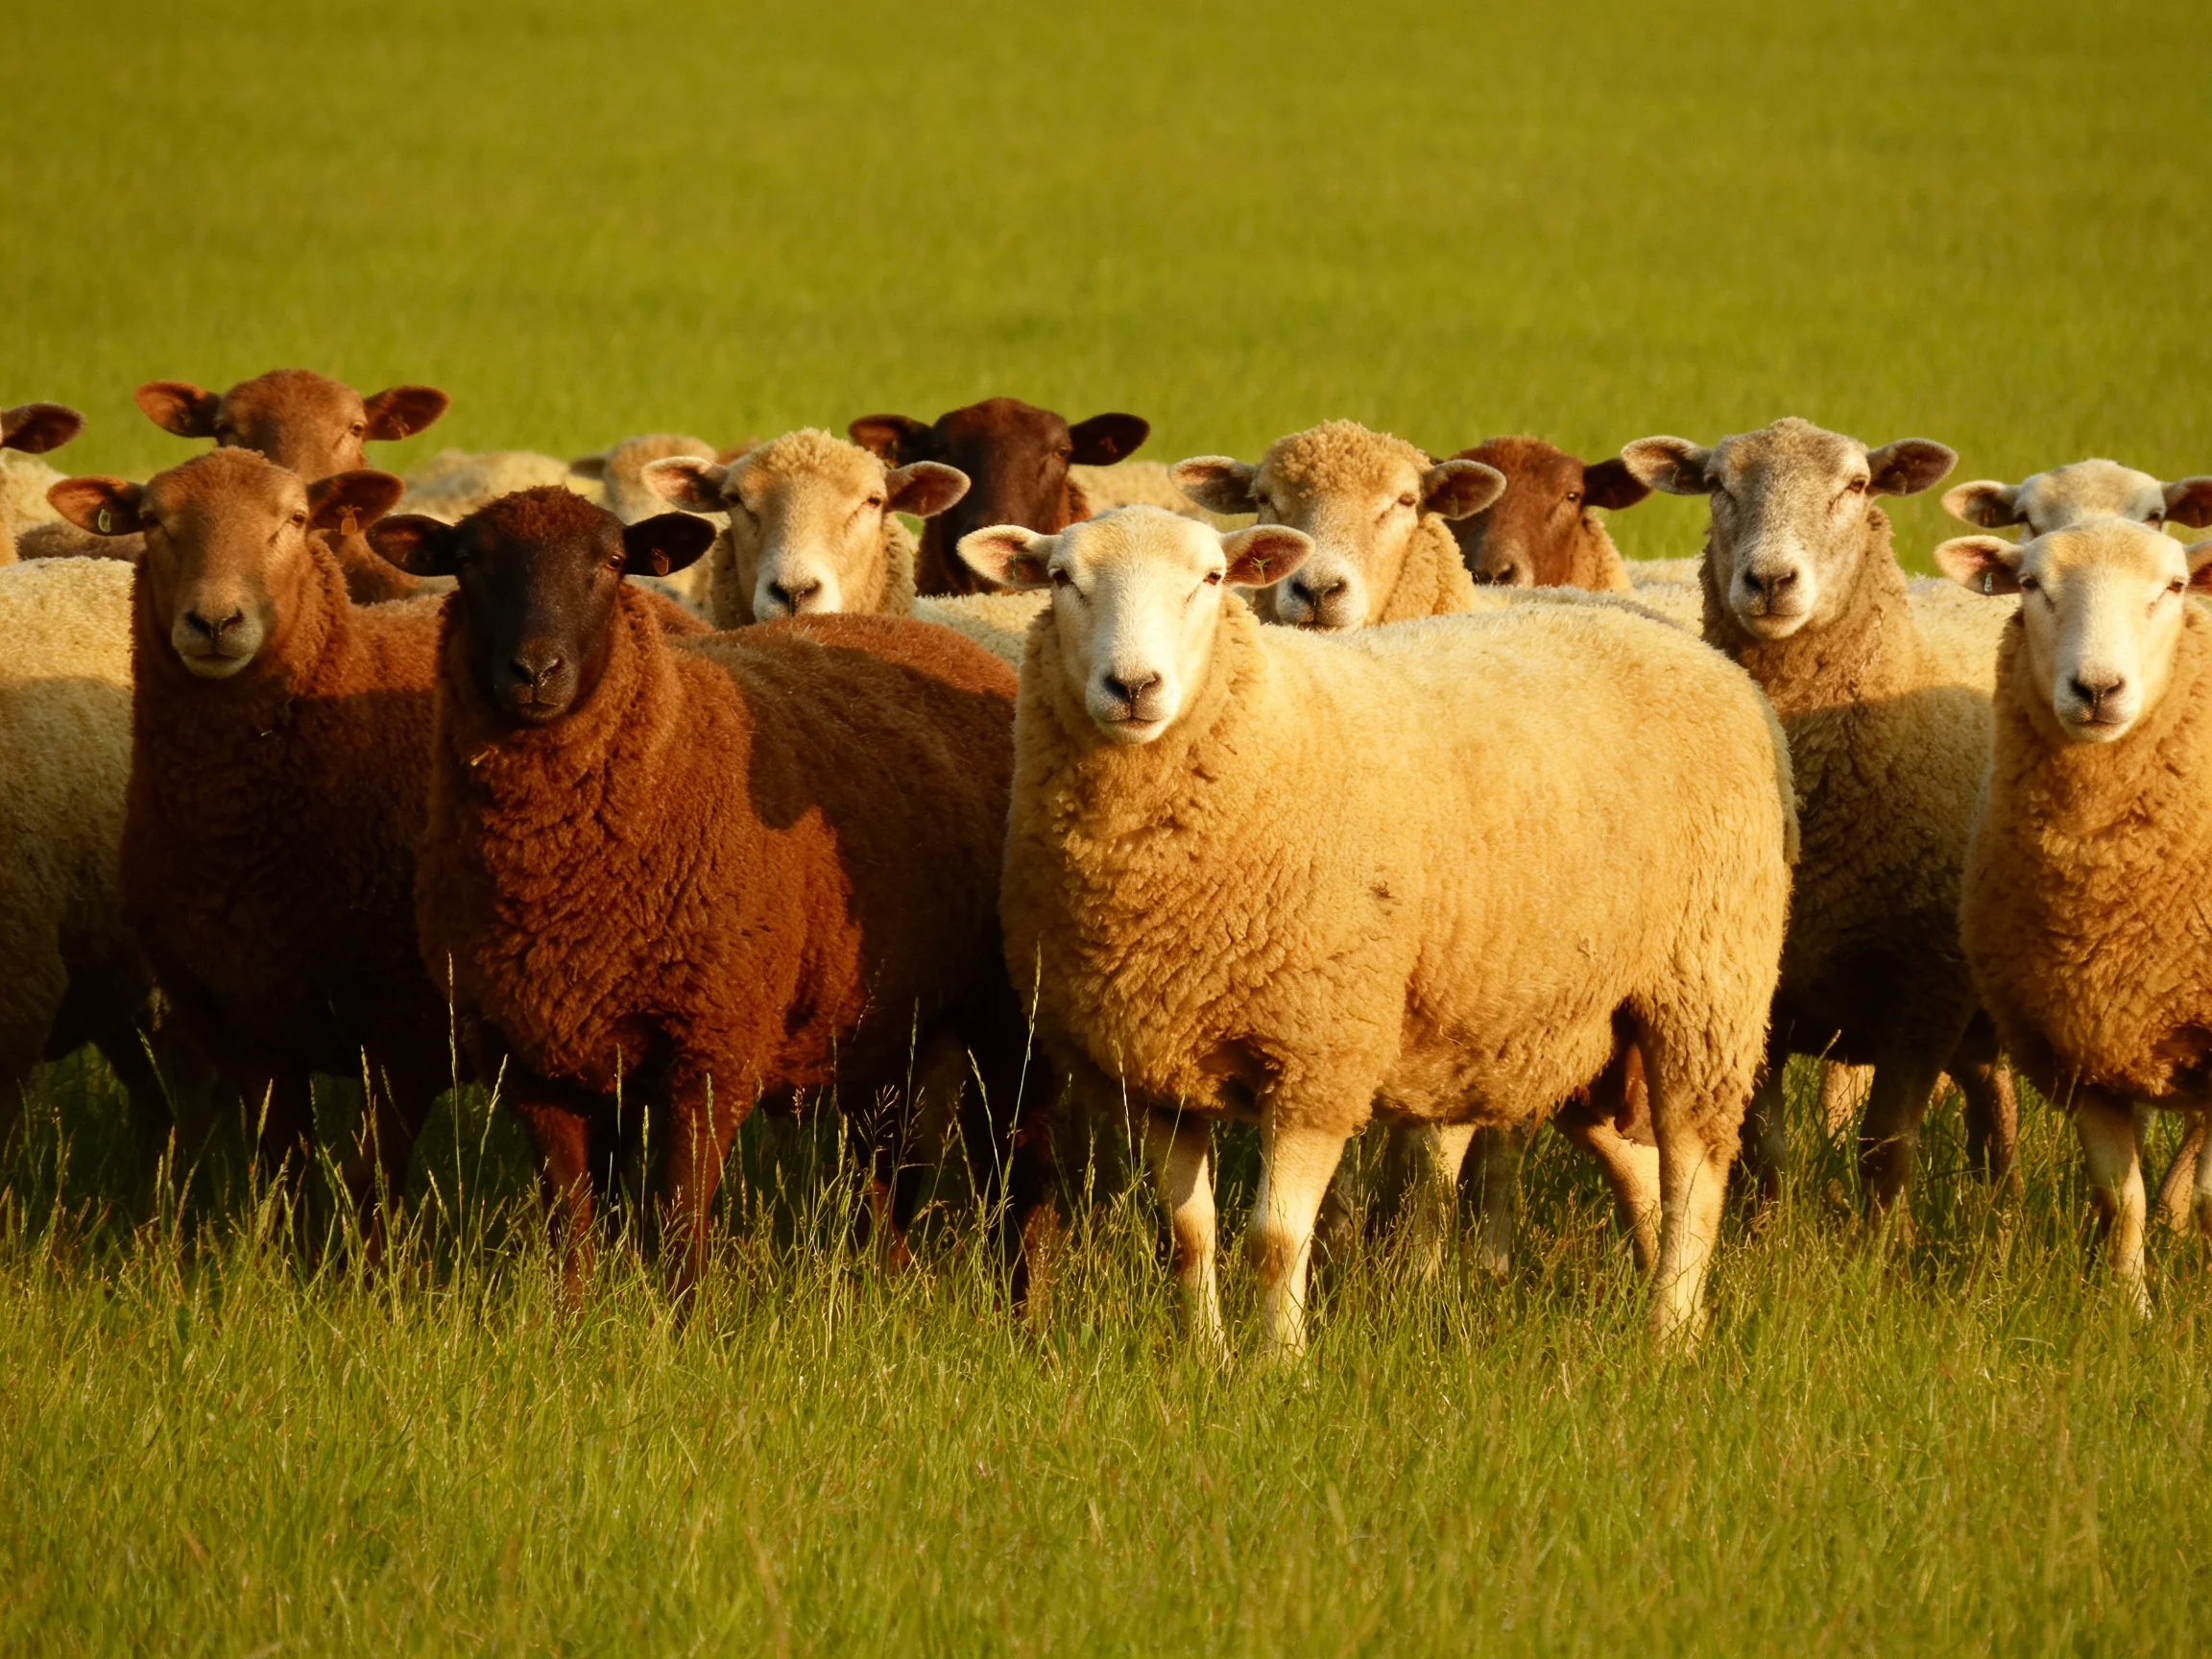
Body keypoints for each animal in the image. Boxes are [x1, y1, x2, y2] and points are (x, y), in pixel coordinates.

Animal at [46, 450, 452, 1222]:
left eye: (294, 520)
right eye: (153, 521)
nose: (213, 621)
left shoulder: (409, 1024)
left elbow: (371, 1181)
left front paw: (363, 1255)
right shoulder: (244, 1015)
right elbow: (289, 1169)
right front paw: (298, 1248)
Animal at [364, 488, 1048, 1296]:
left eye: (612, 563)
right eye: (468, 562)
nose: (535, 670)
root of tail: (951, 641)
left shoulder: (714, 1041)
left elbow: (679, 1212)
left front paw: (680, 1316)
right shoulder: (533, 1054)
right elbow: (570, 1218)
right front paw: (571, 1313)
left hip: (1004, 1010)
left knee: (1016, 1160)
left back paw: (1021, 1300)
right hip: (889, 1017)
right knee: (888, 1159)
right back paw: (884, 1276)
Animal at [960, 505, 1796, 1352]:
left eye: (1212, 578)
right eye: (1061, 578)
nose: (1134, 687)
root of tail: (1698, 654)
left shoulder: (1318, 1054)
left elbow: (1275, 1240)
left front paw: (1280, 1362)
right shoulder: (1153, 1069)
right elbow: (1188, 1234)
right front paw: (1205, 1355)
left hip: (1707, 983)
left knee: (1696, 1169)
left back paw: (1667, 1333)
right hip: (1580, 1023)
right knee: (1641, 1167)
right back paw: (1673, 1308)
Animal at [1621, 416, 2016, 1220]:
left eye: (1857, 485)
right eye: (1717, 484)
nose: (1771, 581)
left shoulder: (1925, 993)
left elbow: (1885, 1144)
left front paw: (1881, 1243)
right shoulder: (1756, 991)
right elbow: (1762, 1149)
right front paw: (1765, 1234)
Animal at [1934, 518, 2212, 1310]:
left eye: (2173, 587)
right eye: (2031, 585)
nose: (2096, 689)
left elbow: (2200, 1183)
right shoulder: (2081, 1044)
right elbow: (2124, 1199)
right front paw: (2129, 1307)